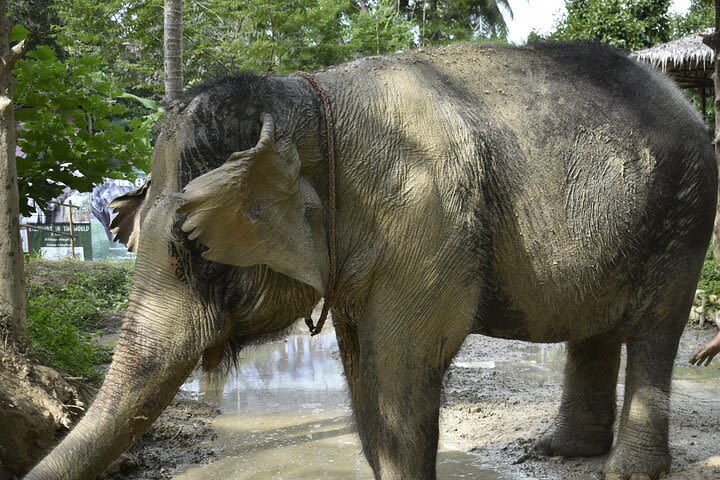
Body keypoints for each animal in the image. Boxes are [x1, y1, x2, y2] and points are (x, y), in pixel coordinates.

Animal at [27, 42, 716, 480]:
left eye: (190, 247)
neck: (312, 99)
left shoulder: (426, 220)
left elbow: (401, 367)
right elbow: (363, 372)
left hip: (686, 214)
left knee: (654, 328)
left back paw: (626, 472)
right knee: (594, 330)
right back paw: (558, 453)